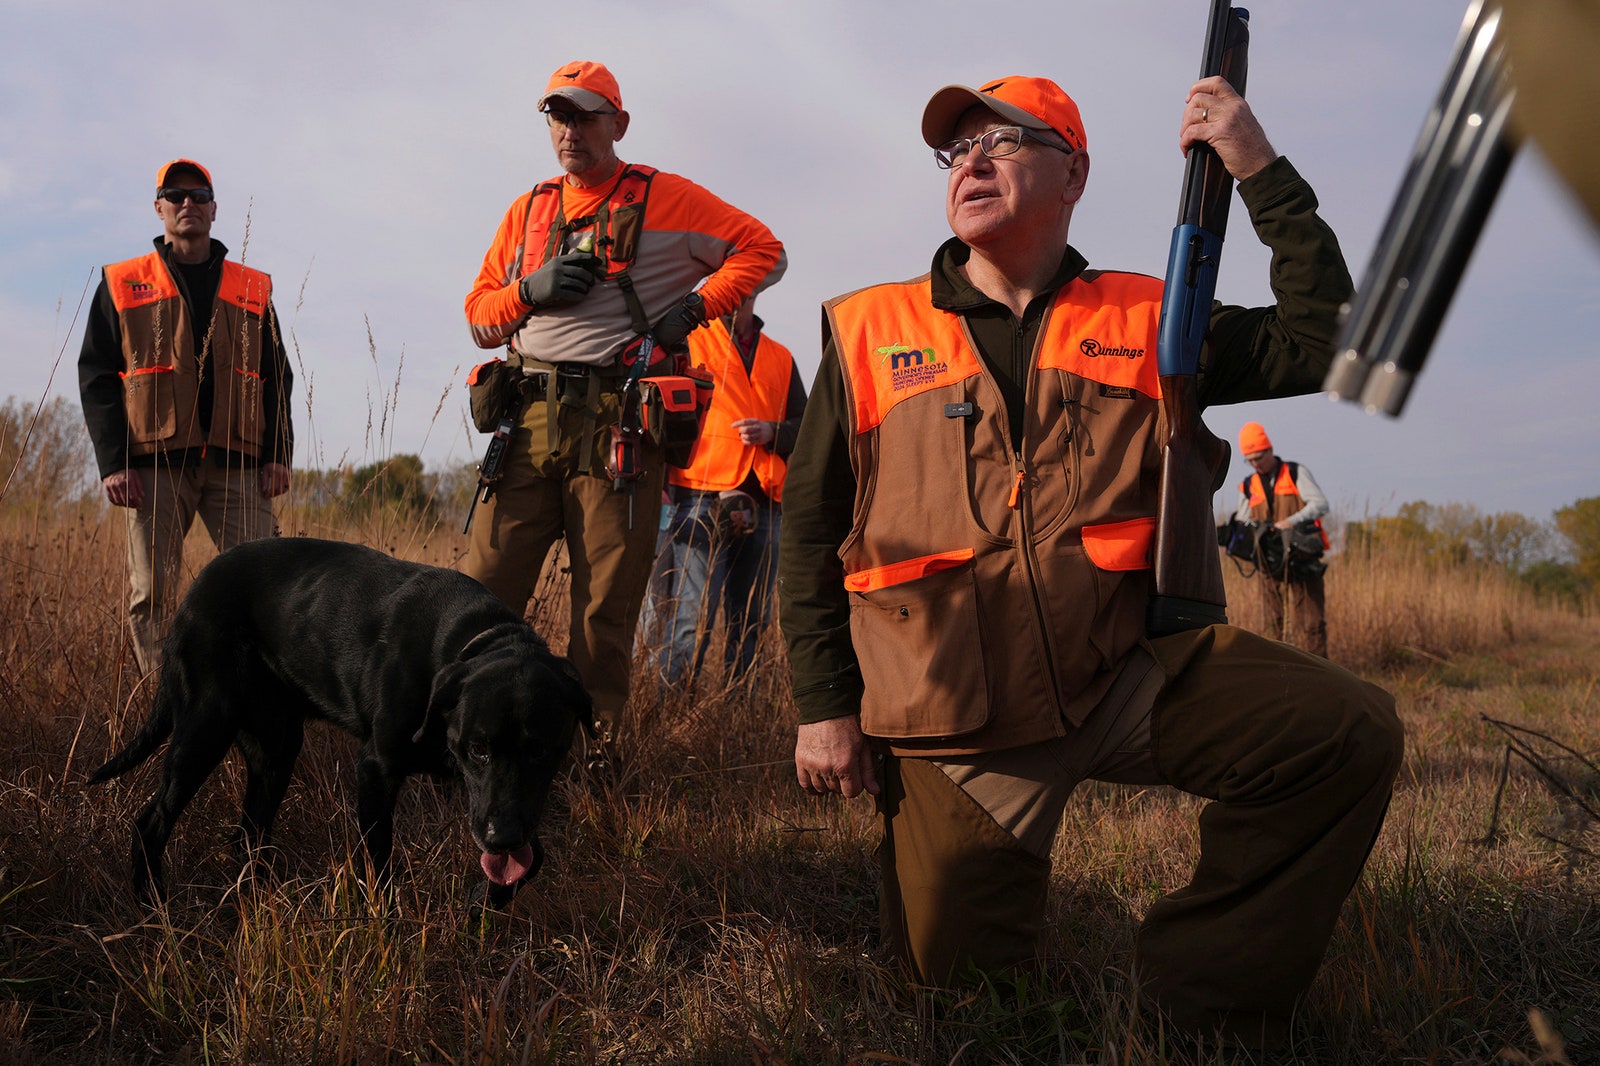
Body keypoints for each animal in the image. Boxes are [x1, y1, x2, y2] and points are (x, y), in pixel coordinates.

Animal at [87, 534, 592, 902]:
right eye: (478, 749)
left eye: (542, 752)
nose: (500, 838)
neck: (469, 640)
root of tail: (189, 597)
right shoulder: (376, 770)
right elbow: (381, 865)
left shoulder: (510, 806)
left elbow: (531, 857)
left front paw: (488, 901)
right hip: (204, 728)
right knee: (151, 822)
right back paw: (152, 906)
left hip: (276, 749)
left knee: (249, 832)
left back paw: (255, 902)